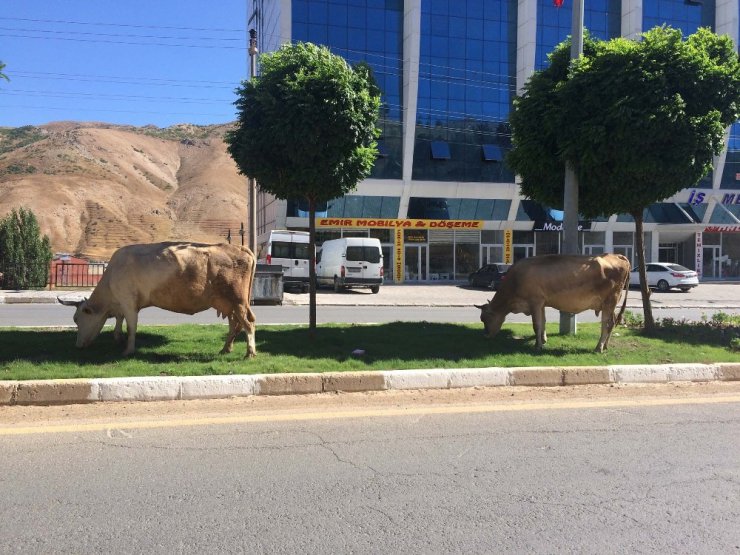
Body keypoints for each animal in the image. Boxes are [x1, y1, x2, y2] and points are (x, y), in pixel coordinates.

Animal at [57, 242, 258, 356]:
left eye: (77, 319)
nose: (78, 346)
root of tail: (240, 248)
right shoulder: (122, 305)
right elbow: (119, 324)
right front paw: (118, 339)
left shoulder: (129, 303)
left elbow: (131, 327)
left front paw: (128, 350)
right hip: (229, 304)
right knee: (235, 324)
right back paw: (225, 349)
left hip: (238, 301)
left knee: (248, 324)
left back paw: (250, 353)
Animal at [474, 255, 632, 354]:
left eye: (484, 319)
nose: (485, 336)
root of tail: (617, 255)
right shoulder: (542, 303)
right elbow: (543, 322)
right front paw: (544, 340)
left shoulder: (535, 301)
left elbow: (536, 324)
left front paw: (537, 346)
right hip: (610, 304)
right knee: (612, 322)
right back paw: (605, 346)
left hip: (610, 300)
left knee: (607, 323)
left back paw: (598, 347)